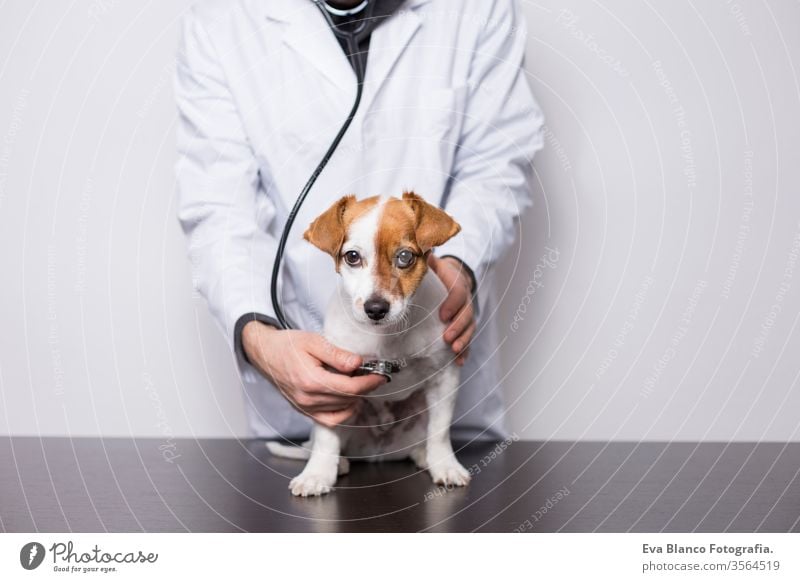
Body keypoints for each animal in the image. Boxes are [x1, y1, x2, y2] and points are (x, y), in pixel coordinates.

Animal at [266, 190, 472, 498]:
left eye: (405, 257)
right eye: (352, 257)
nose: (376, 308)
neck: (386, 337)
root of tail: (377, 451)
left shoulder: (444, 377)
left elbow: (440, 430)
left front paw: (445, 465)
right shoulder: (330, 384)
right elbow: (326, 437)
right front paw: (317, 474)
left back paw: (423, 456)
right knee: (324, 442)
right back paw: (338, 463)